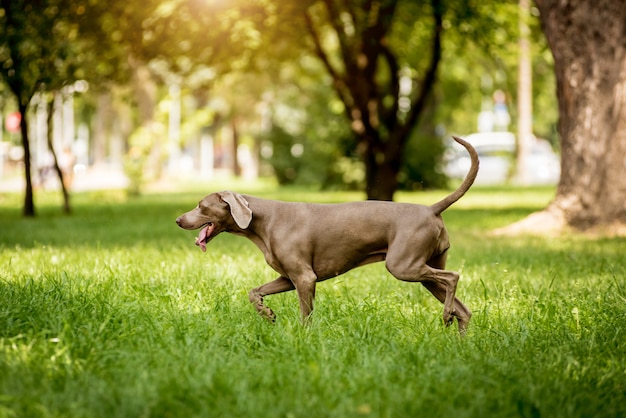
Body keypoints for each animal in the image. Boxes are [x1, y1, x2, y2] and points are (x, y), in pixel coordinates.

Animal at [176, 137, 478, 334]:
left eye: (201, 206)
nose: (178, 220)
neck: (263, 221)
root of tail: (431, 208)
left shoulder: (305, 278)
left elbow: (305, 315)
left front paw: (303, 337)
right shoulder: (288, 278)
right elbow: (254, 292)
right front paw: (268, 314)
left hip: (403, 265)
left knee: (453, 277)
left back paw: (446, 316)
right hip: (424, 271)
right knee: (463, 309)